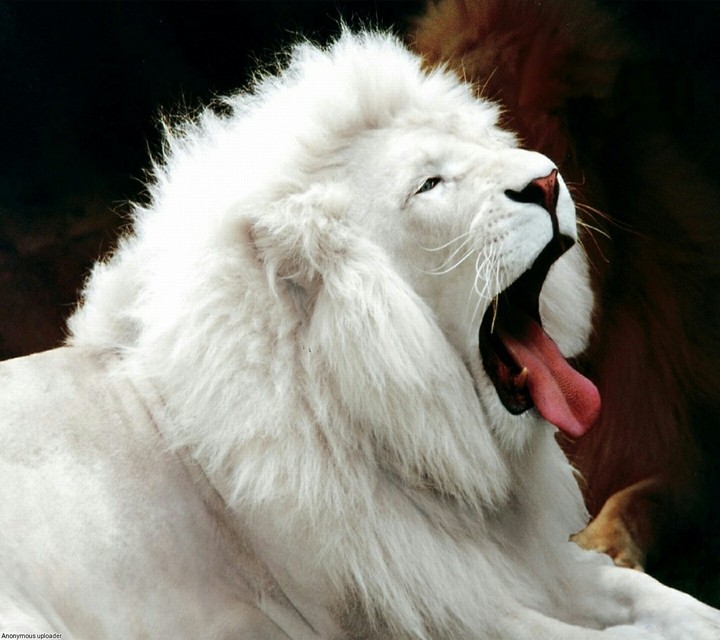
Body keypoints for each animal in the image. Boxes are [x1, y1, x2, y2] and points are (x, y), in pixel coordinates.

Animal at [1, 31, 718, 639]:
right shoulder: (438, 612)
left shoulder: (535, 568)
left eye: (480, 147)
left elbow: (660, 600)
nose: (547, 180)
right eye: (429, 183)